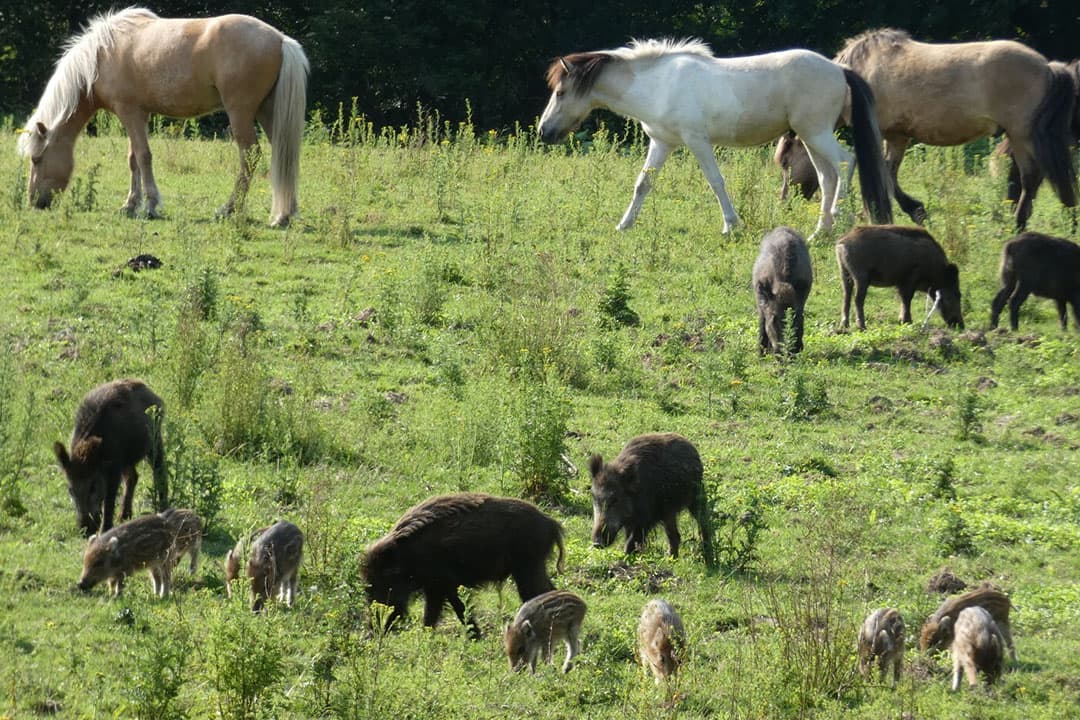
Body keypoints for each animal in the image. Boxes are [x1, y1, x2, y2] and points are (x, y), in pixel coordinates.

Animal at [16, 7, 308, 227]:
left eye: (36, 158)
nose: (35, 202)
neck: (101, 55)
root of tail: (280, 40)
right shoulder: (138, 114)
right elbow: (133, 159)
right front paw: (129, 205)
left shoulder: (129, 112)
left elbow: (144, 156)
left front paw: (150, 206)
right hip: (267, 112)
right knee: (283, 153)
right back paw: (284, 215)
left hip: (241, 113)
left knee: (250, 155)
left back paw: (228, 209)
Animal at [537, 38, 893, 238]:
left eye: (561, 92)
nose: (544, 131)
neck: (657, 84)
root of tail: (837, 69)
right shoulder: (662, 143)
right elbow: (643, 184)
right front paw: (624, 225)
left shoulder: (697, 141)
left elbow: (715, 181)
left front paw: (731, 225)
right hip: (809, 136)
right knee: (826, 177)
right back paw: (821, 232)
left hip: (815, 132)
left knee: (845, 161)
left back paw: (838, 219)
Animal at [783, 29, 1077, 229]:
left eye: (785, 159)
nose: (786, 201)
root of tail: (1047, 66)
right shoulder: (896, 137)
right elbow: (888, 173)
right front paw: (912, 211)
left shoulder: (884, 134)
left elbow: (883, 173)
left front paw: (907, 211)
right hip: (1018, 136)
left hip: (1021, 134)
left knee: (1031, 177)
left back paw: (1017, 224)